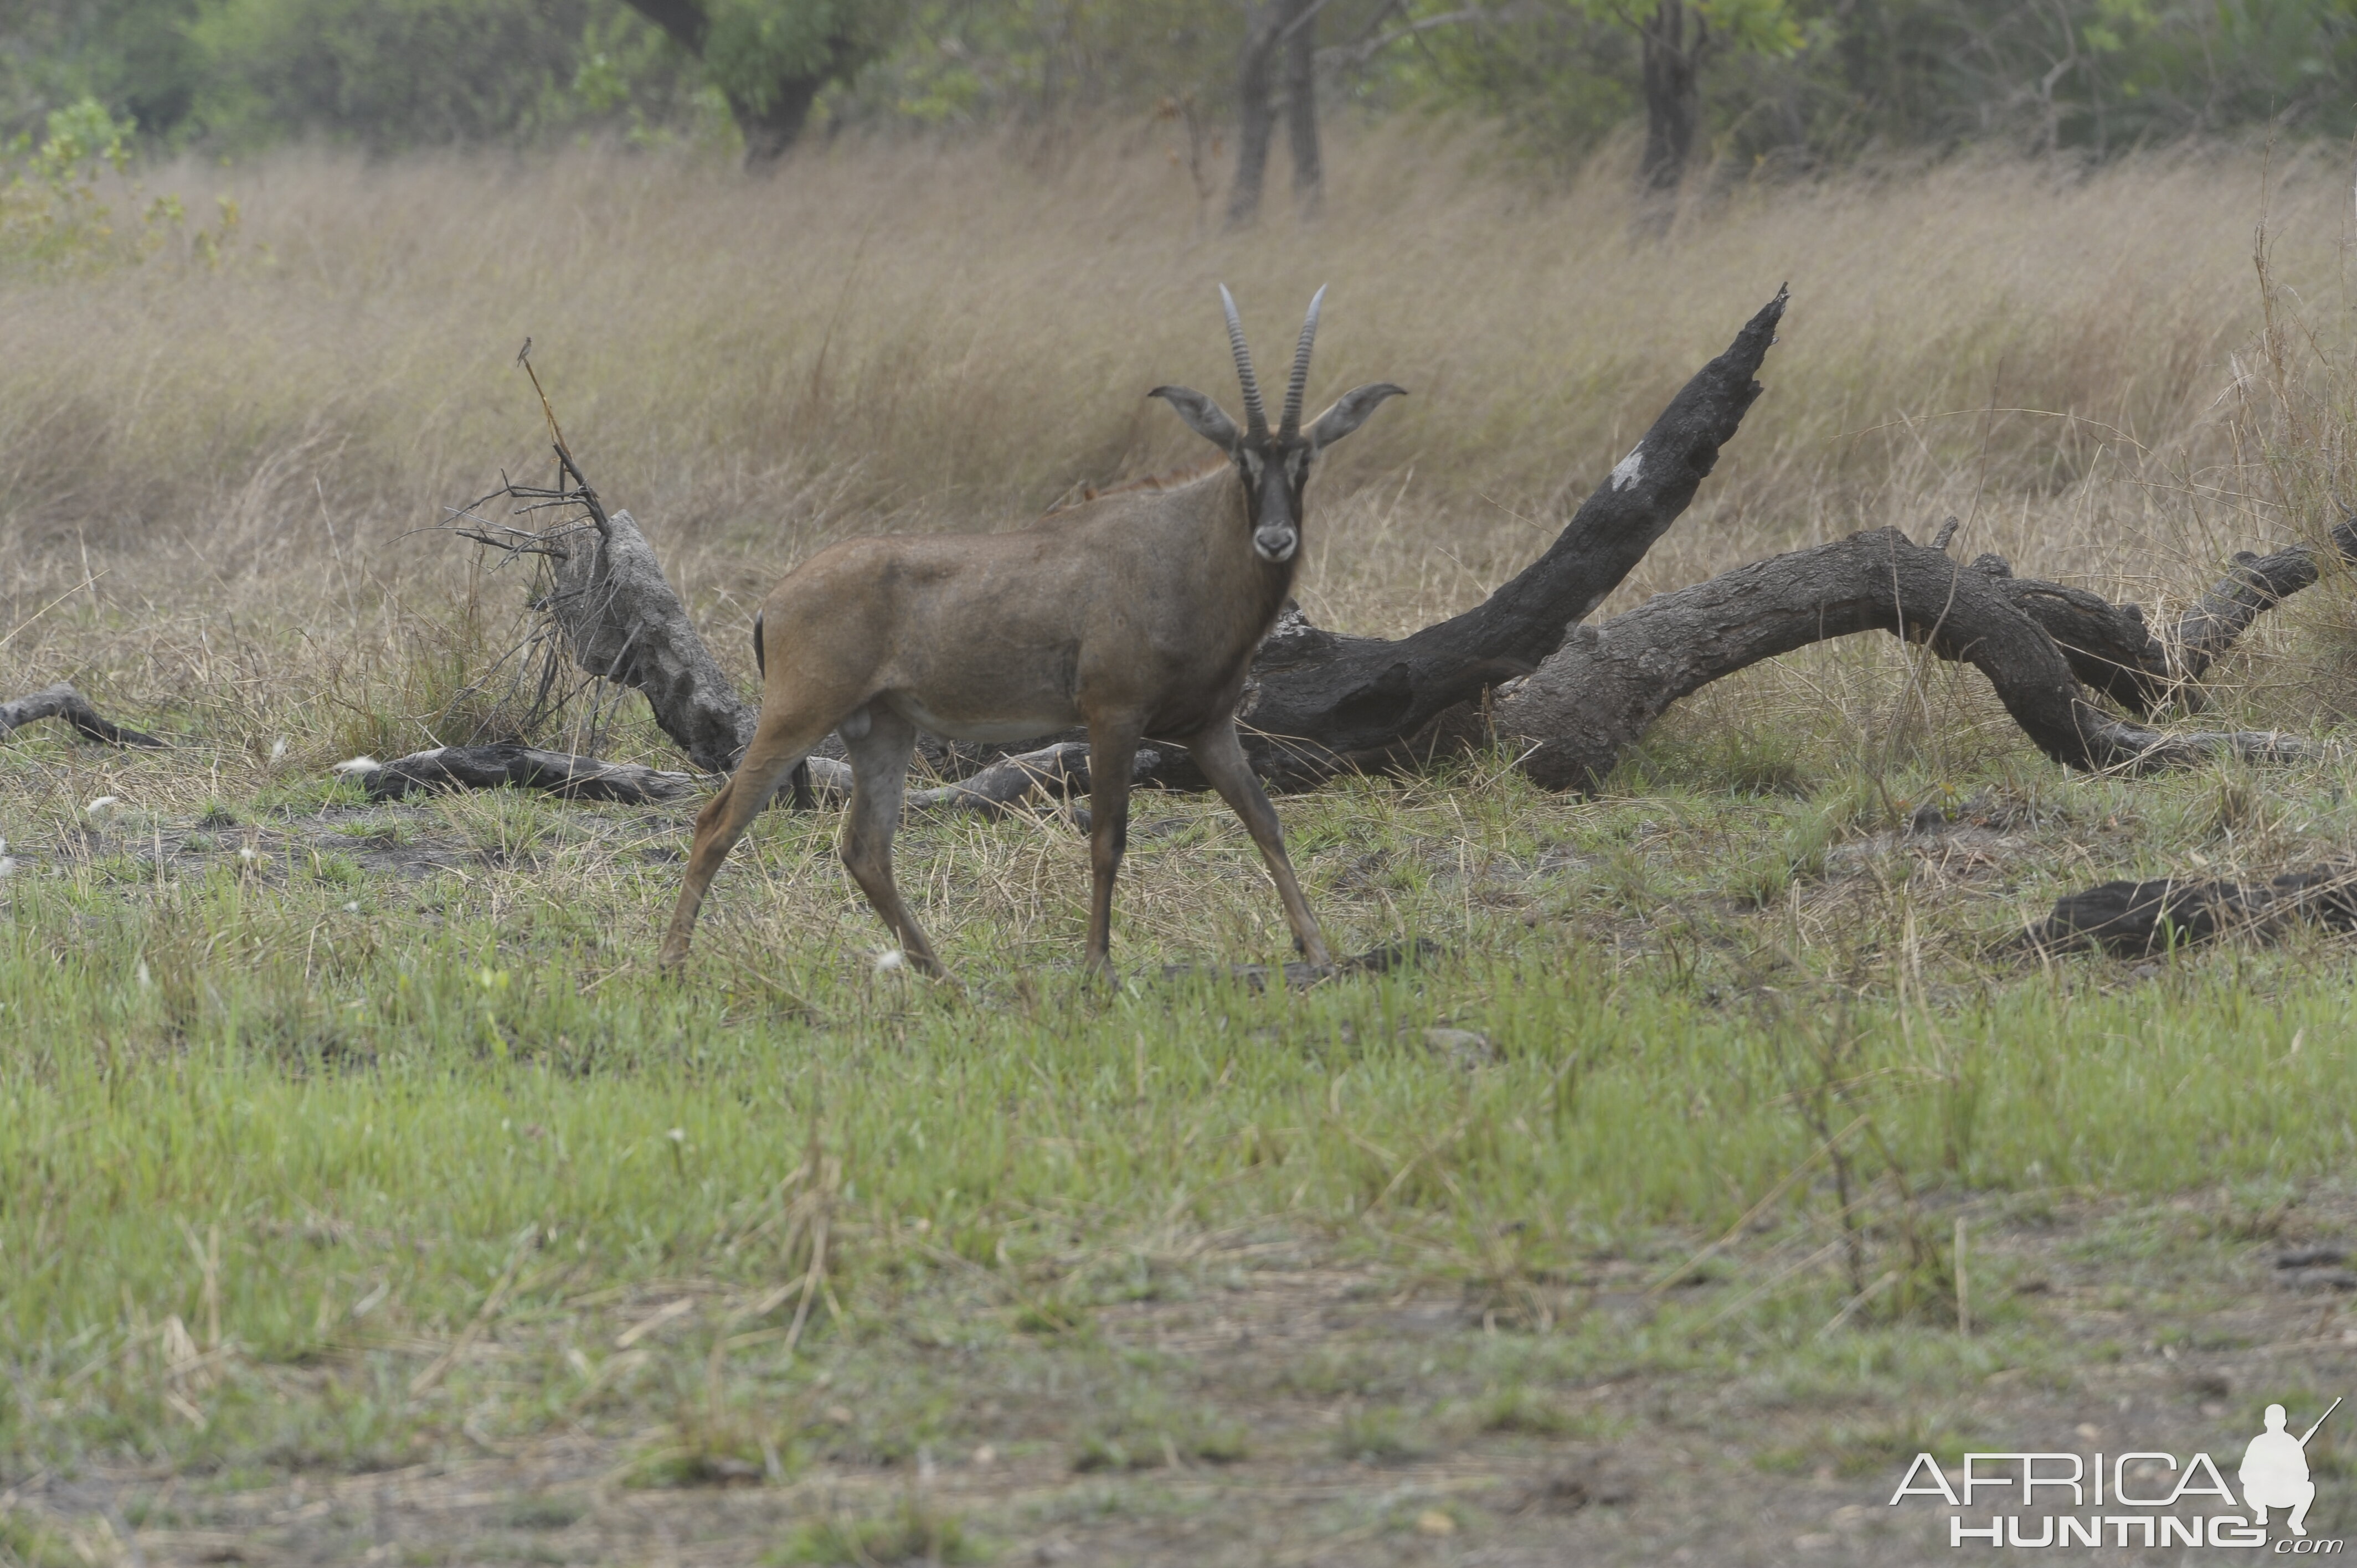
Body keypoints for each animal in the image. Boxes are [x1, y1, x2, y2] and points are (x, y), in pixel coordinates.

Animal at [655, 290, 1404, 981]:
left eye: (1305, 461)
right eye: (1241, 460)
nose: (1275, 539)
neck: (1181, 546)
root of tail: (775, 599)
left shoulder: (1209, 728)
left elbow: (1263, 820)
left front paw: (1318, 951)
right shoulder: (1112, 716)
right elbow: (1108, 838)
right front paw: (1097, 966)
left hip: (883, 728)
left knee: (865, 847)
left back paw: (941, 975)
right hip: (799, 715)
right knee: (717, 822)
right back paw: (672, 964)